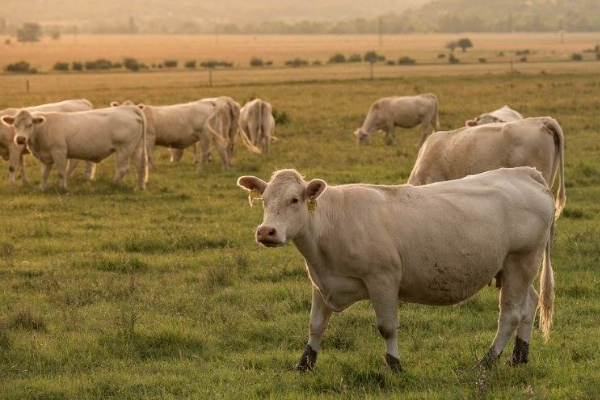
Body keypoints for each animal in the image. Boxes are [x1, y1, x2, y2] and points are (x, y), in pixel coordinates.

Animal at [0, 107, 148, 190]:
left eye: (30, 124)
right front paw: (42, 188)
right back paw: (139, 187)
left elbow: (61, 172)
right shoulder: (46, 157)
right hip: (135, 148)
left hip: (124, 149)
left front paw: (63, 188)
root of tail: (128, 109)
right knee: (140, 166)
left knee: (122, 168)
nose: (20, 139)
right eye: (14, 125)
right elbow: (44, 174)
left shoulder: (59, 152)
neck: (43, 128)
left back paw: (114, 185)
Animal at [237, 166, 556, 372]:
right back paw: (519, 357)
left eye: (294, 200)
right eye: (264, 201)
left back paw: (487, 361)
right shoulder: (322, 282)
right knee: (529, 306)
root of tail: (524, 173)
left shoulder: (383, 279)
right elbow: (316, 325)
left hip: (520, 261)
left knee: (510, 315)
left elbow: (387, 327)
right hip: (517, 268)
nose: (266, 232)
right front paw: (304, 363)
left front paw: (394, 365)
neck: (331, 223)